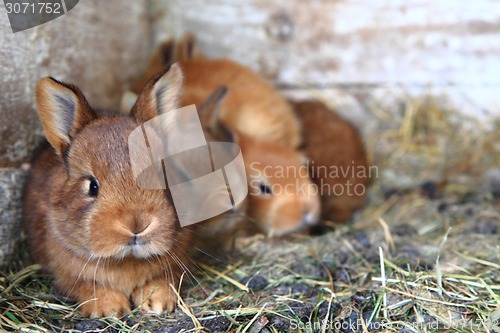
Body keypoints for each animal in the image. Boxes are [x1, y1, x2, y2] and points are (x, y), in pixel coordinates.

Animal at [23, 64, 193, 316]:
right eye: (92, 186)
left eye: (163, 173)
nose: (137, 224)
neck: (126, 261)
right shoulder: (66, 274)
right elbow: (86, 286)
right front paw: (110, 308)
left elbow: (165, 277)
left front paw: (158, 302)